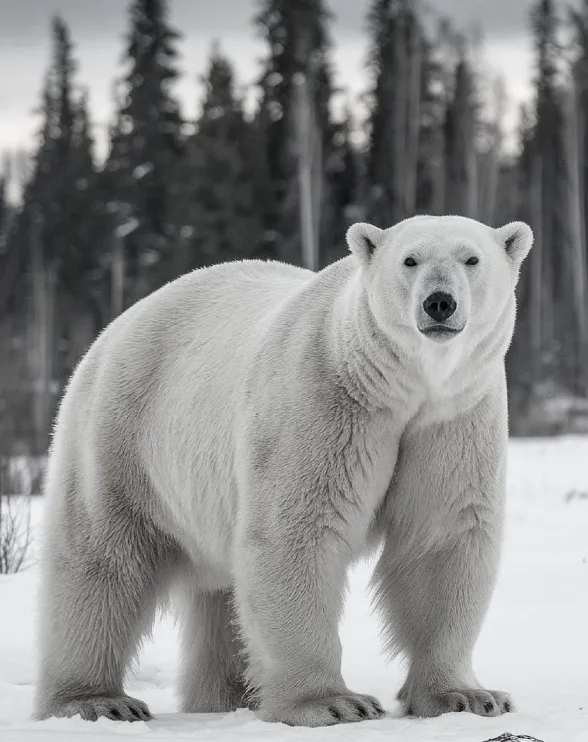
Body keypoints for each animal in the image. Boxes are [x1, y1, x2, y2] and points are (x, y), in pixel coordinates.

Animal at [35, 214, 533, 727]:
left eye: (471, 259)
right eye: (409, 260)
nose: (439, 302)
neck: (400, 386)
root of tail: (120, 323)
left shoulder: (453, 419)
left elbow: (441, 539)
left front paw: (467, 697)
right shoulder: (326, 400)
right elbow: (297, 532)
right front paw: (331, 703)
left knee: (221, 593)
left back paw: (230, 694)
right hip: (123, 435)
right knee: (102, 560)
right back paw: (97, 700)